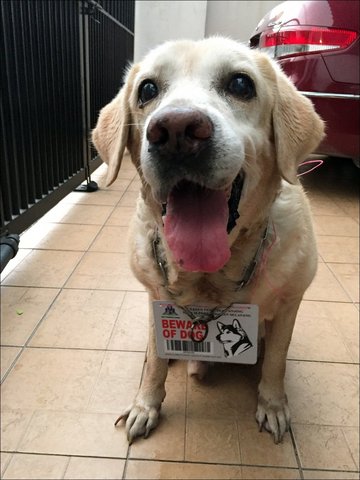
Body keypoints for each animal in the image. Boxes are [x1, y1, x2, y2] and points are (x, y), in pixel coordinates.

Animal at [91, 35, 324, 444]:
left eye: (241, 84)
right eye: (147, 89)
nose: (176, 130)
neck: (209, 279)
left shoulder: (289, 303)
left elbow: (276, 361)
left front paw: (273, 405)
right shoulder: (155, 298)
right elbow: (155, 362)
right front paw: (145, 406)